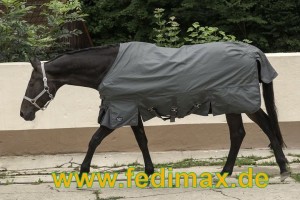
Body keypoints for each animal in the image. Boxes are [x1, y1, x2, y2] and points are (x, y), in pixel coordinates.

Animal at [19, 43, 290, 182]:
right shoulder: (130, 108)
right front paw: (149, 171)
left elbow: (94, 139)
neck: (109, 67)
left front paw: (83, 172)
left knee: (260, 127)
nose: (23, 113)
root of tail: (253, 52)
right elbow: (142, 139)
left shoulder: (119, 110)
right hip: (232, 104)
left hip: (236, 101)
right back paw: (227, 171)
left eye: (32, 82)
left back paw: (282, 169)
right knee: (243, 132)